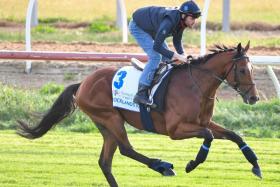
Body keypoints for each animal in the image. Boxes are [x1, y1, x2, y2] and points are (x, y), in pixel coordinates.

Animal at [17, 41, 262, 186]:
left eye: (253, 69)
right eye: (242, 70)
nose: (254, 98)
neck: (196, 85)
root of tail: (83, 83)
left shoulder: (204, 122)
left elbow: (235, 135)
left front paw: (256, 165)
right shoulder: (176, 130)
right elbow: (209, 137)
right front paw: (192, 164)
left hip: (105, 125)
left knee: (105, 162)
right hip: (111, 118)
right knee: (126, 149)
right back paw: (162, 166)